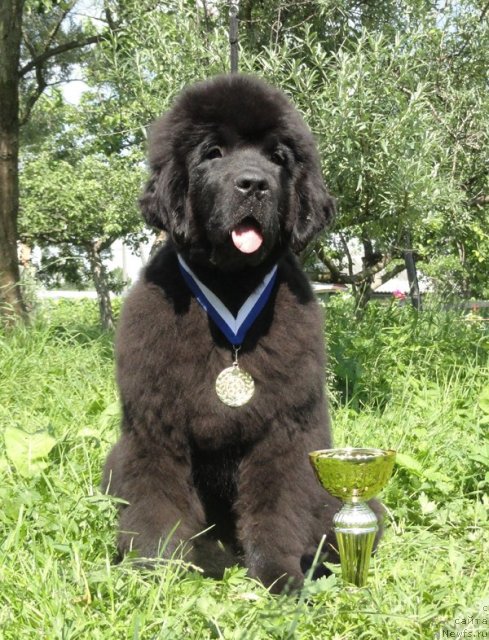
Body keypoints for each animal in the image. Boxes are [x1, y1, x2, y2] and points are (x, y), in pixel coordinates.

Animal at [101, 74, 342, 592]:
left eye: (278, 157)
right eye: (212, 152)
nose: (254, 184)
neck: (230, 294)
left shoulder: (283, 433)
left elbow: (276, 509)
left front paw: (279, 577)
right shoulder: (156, 429)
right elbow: (159, 504)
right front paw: (156, 573)